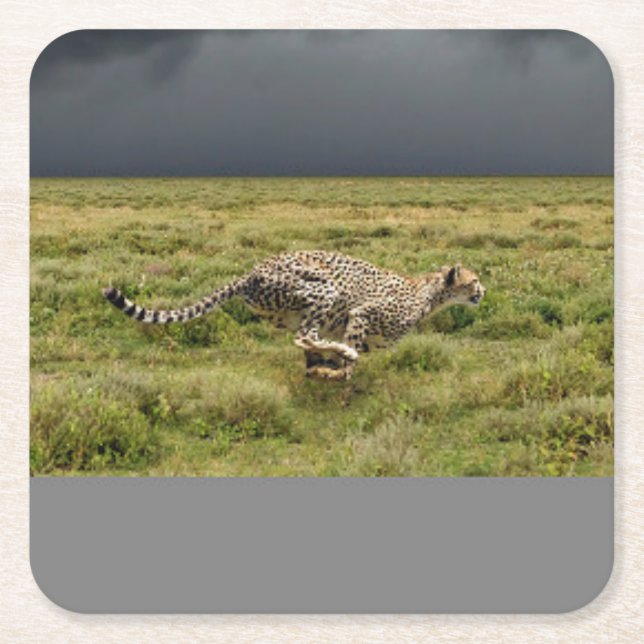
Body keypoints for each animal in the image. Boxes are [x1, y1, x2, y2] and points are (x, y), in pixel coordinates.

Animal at [103, 250, 485, 380]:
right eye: (473, 280)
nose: (483, 292)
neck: (430, 294)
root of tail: (252, 271)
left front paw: (323, 370)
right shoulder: (361, 313)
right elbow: (351, 357)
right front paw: (340, 370)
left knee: (304, 338)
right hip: (324, 288)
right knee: (305, 336)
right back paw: (339, 353)